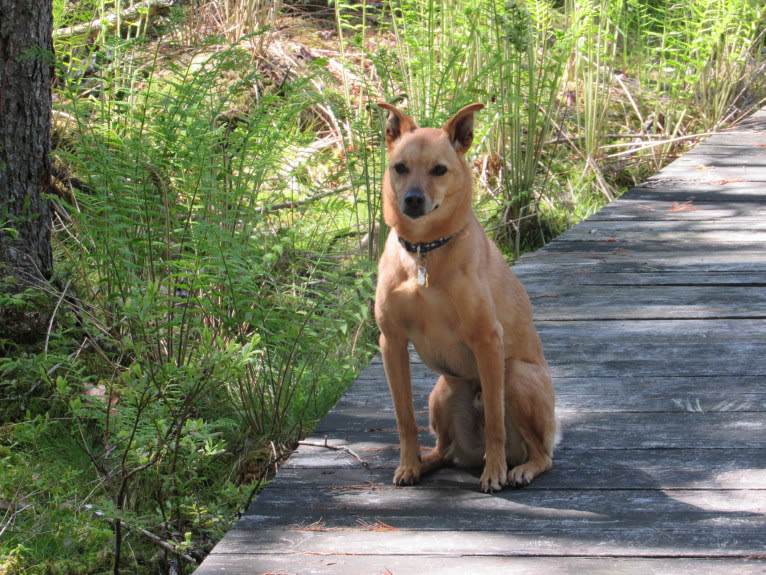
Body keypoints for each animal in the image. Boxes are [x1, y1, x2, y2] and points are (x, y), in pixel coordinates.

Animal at [374, 101, 560, 492]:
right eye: (400, 167)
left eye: (439, 170)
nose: (412, 199)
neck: (423, 253)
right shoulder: (391, 342)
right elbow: (404, 419)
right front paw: (407, 465)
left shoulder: (487, 340)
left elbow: (495, 423)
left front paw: (494, 473)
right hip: (443, 392)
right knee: (444, 450)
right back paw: (424, 462)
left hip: (515, 376)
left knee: (541, 453)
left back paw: (519, 469)